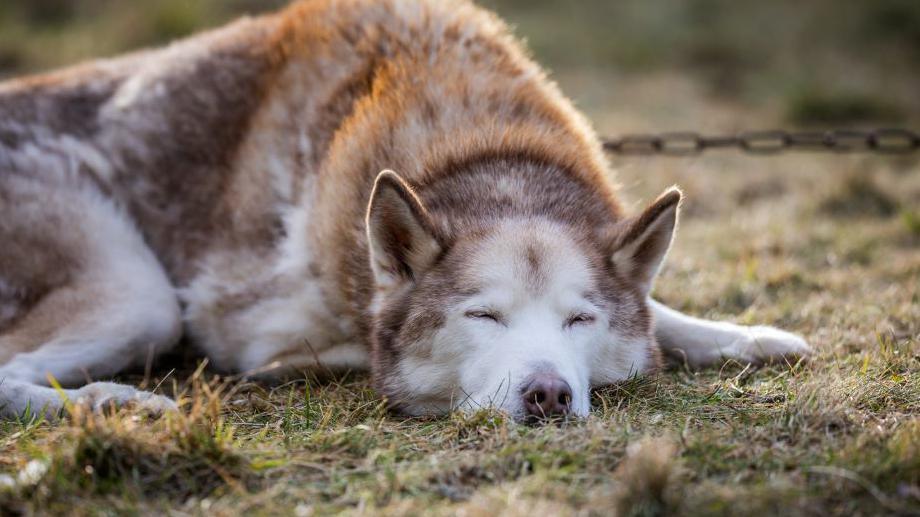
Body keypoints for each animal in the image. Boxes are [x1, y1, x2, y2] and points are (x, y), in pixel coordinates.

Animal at [0, 0, 808, 422]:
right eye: (483, 316)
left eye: (581, 320)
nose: (548, 393)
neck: (479, 149)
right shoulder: (241, 317)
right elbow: (337, 346)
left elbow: (657, 311)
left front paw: (745, 336)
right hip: (138, 296)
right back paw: (110, 400)